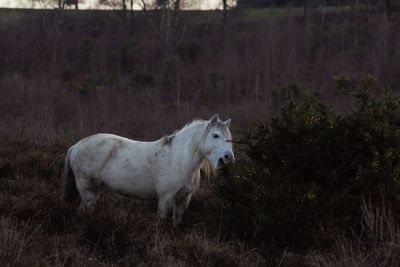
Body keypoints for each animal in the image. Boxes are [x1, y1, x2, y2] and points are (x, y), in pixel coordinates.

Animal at [62, 115, 234, 226]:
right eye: (215, 135)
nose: (229, 157)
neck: (179, 159)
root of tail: (75, 146)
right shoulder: (165, 198)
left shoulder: (184, 199)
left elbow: (177, 223)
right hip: (87, 189)